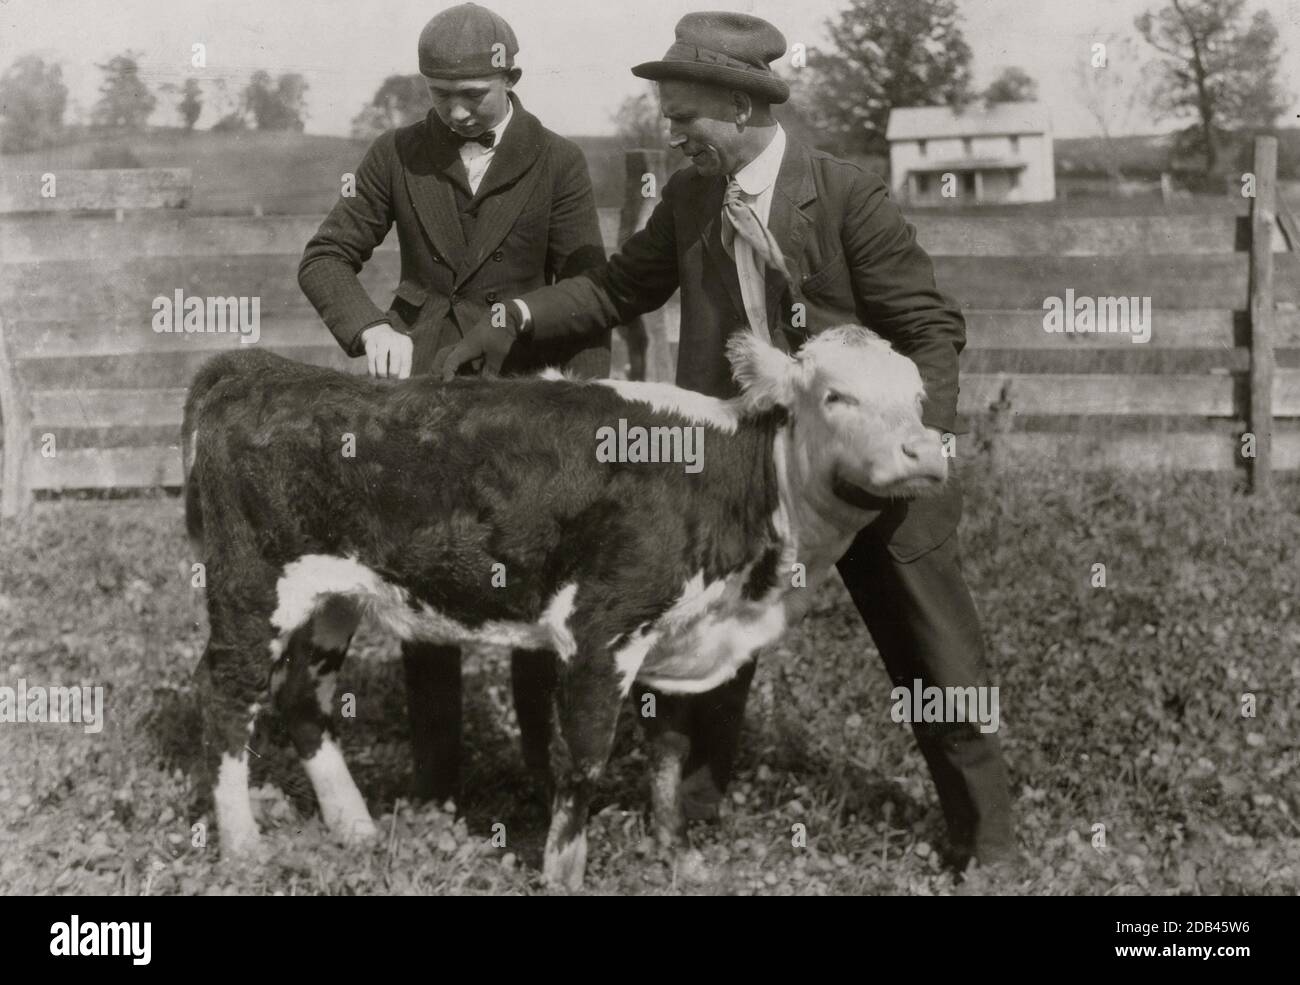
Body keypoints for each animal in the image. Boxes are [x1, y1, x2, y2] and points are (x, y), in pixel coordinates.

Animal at [185, 327, 946, 888]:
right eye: (835, 396)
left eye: (918, 396)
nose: (927, 452)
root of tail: (262, 369)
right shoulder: (601, 630)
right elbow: (583, 762)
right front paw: (563, 871)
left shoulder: (677, 639)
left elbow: (669, 756)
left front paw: (675, 853)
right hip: (250, 589)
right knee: (224, 696)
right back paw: (244, 846)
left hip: (336, 594)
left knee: (302, 697)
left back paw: (354, 826)